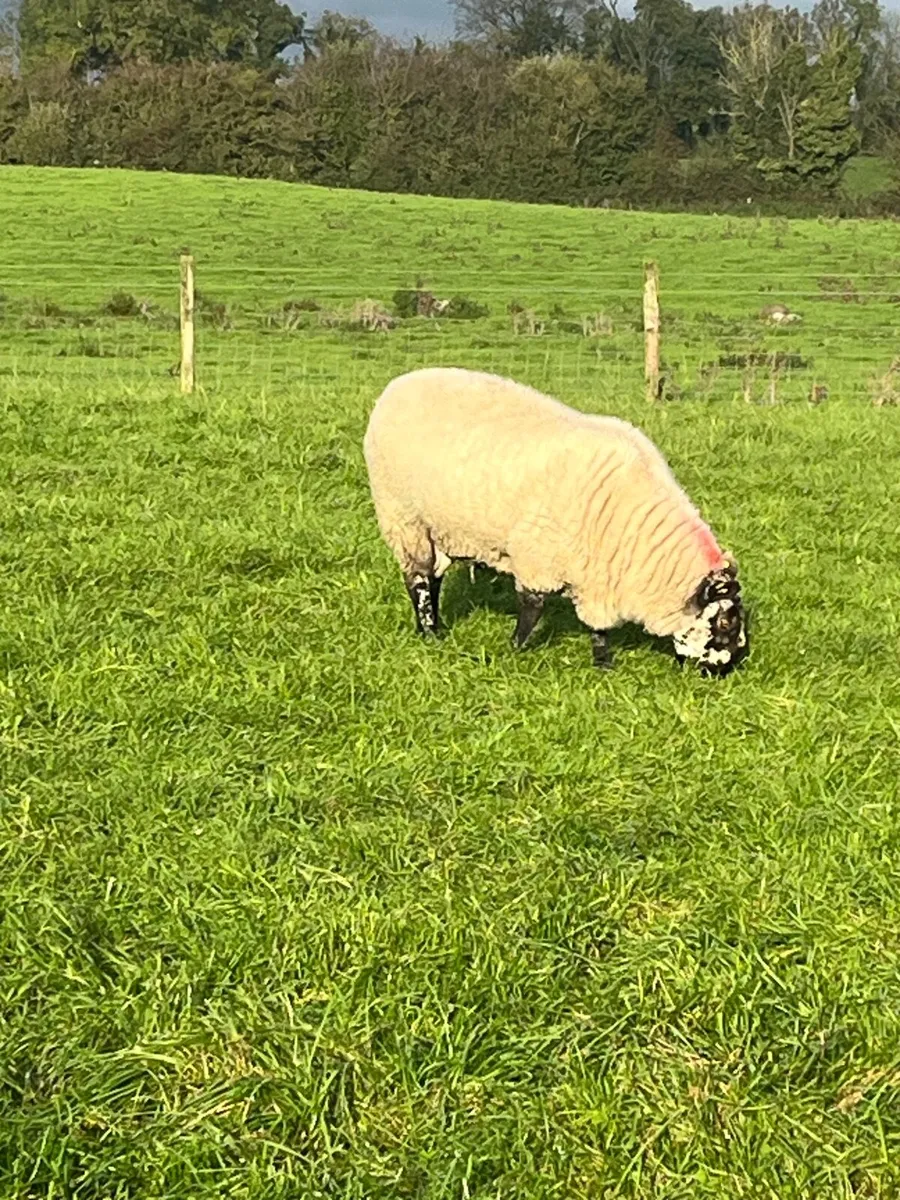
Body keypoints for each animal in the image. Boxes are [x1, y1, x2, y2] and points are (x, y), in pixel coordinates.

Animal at [363, 368, 748, 676]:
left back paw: (434, 626)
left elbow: (598, 626)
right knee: (418, 578)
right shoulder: (538, 556)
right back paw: (430, 632)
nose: (727, 670)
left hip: (440, 528)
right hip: (404, 517)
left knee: (434, 576)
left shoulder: (597, 574)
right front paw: (515, 647)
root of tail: (399, 383)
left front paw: (603, 664)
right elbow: (532, 606)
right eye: (725, 620)